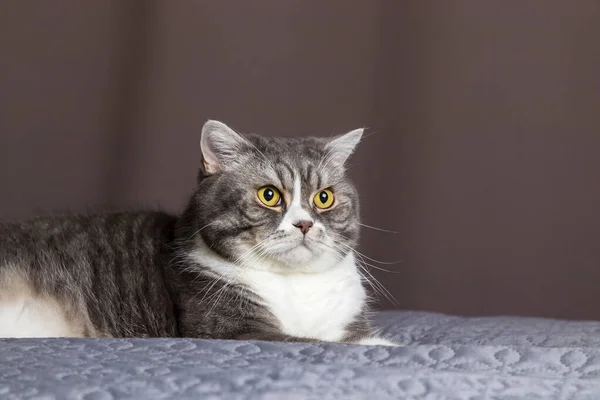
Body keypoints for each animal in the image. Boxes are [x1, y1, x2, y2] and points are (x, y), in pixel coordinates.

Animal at [0, 120, 398, 346]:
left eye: (324, 198)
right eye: (269, 195)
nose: (304, 224)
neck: (293, 284)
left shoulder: (348, 320)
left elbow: (344, 339)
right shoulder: (229, 330)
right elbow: (320, 343)